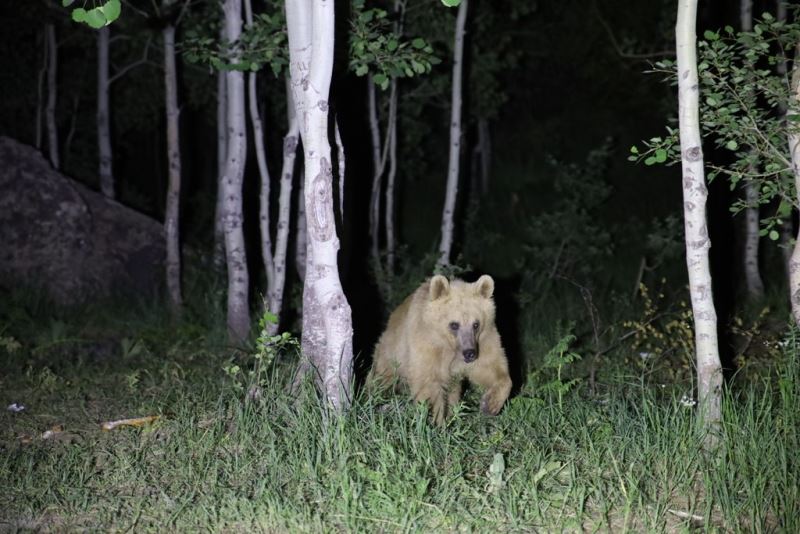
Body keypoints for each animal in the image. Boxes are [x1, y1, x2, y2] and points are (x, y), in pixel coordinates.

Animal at [368, 276, 512, 428]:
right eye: (454, 324)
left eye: (476, 324)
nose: (470, 353)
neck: (451, 349)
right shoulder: (427, 344)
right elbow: (428, 383)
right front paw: (435, 421)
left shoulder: (483, 340)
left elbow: (491, 368)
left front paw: (489, 405)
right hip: (392, 352)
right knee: (382, 377)